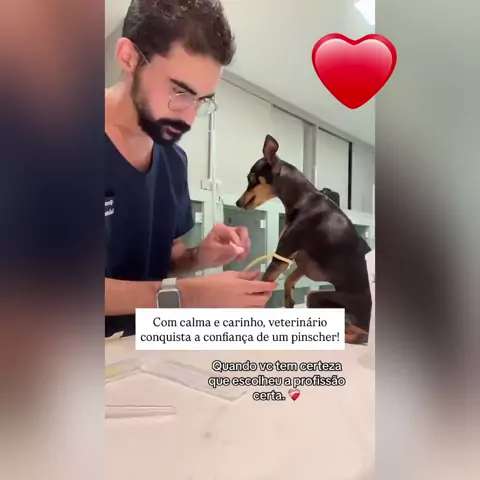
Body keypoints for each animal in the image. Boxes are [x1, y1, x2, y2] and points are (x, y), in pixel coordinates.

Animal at [235, 134, 372, 344]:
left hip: (317, 297)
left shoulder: (282, 255)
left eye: (251, 178)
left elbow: (263, 286)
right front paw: (289, 302)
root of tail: (368, 320)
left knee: (359, 334)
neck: (304, 198)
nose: (237, 203)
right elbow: (288, 280)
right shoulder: (299, 259)